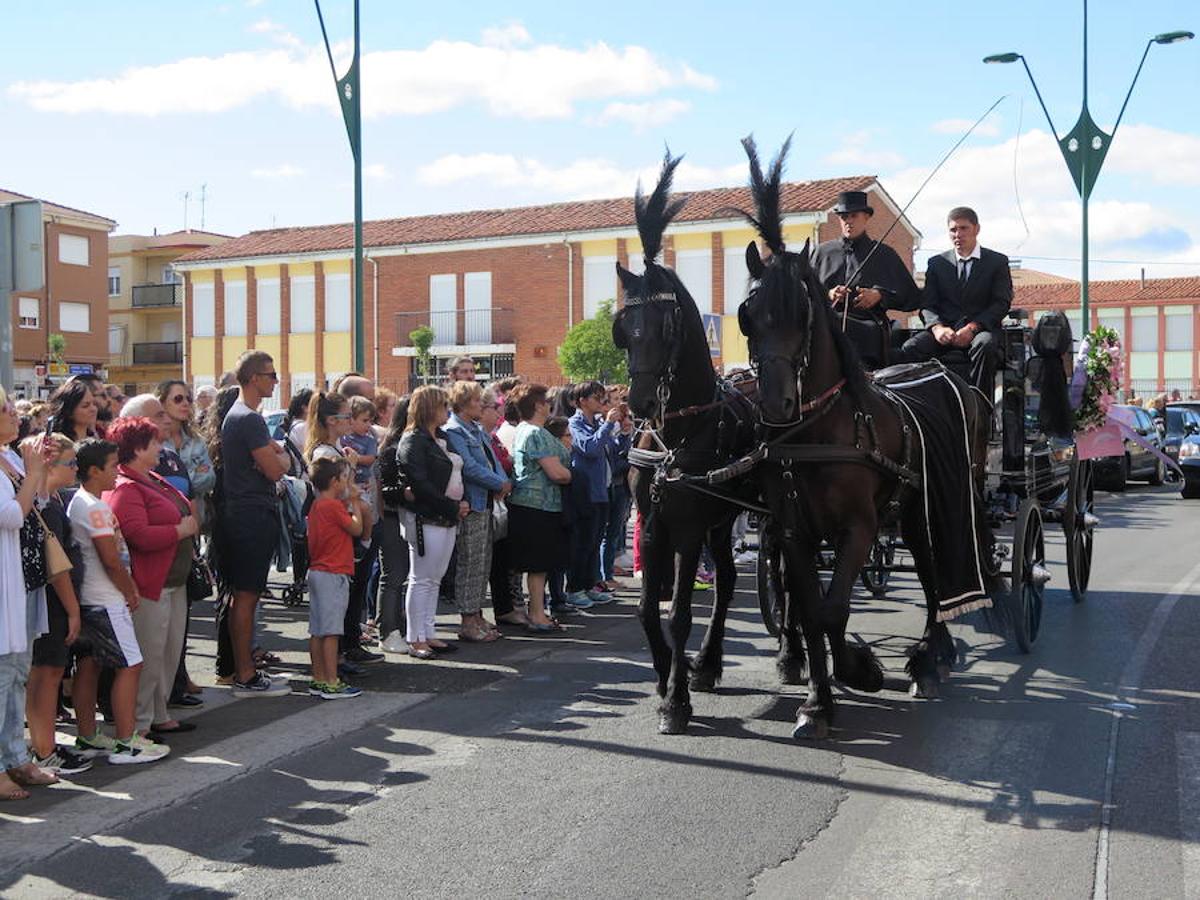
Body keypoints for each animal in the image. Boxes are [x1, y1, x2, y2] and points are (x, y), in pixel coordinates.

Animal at [614, 151, 763, 734]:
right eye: (623, 327)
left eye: (667, 324)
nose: (635, 402)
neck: (677, 434)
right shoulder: (655, 524)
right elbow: (646, 609)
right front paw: (662, 676)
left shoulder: (689, 527)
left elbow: (678, 612)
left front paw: (675, 700)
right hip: (723, 523)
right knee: (726, 578)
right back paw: (708, 664)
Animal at [729, 135, 993, 739]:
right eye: (747, 313)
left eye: (803, 309)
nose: (775, 405)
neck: (815, 432)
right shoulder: (793, 531)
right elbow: (810, 609)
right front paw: (815, 698)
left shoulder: (859, 527)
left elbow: (832, 608)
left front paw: (859, 669)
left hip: (939, 505)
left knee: (936, 577)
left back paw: (929, 660)